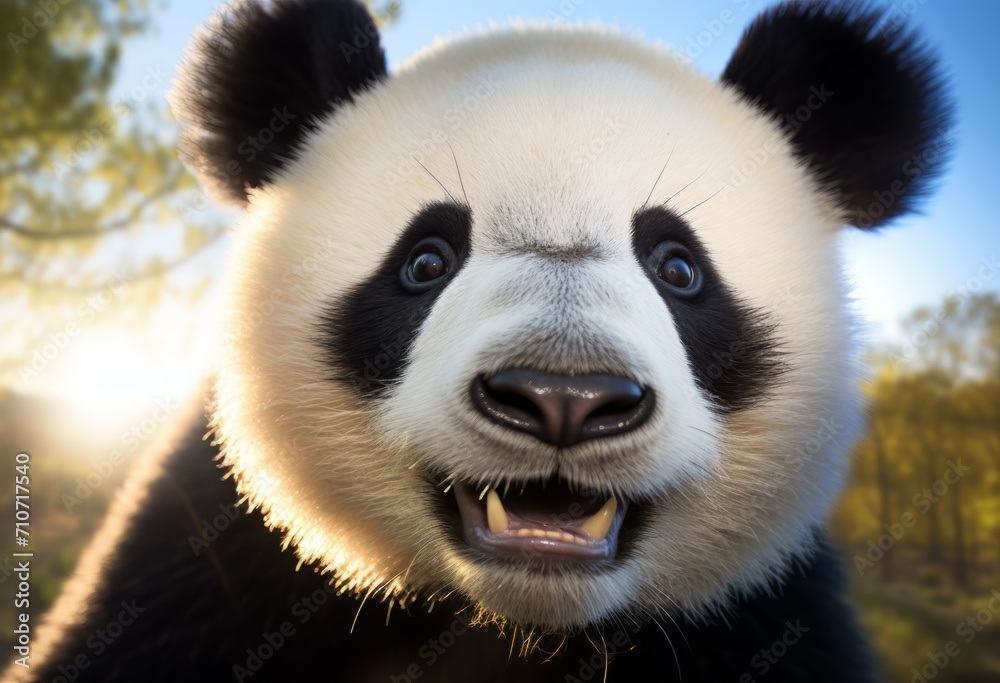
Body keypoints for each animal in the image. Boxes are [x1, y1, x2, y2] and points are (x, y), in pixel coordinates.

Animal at [15, 0, 952, 681]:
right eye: (426, 259)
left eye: (679, 268)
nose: (563, 398)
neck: (515, 619)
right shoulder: (215, 563)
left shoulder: (765, 615)